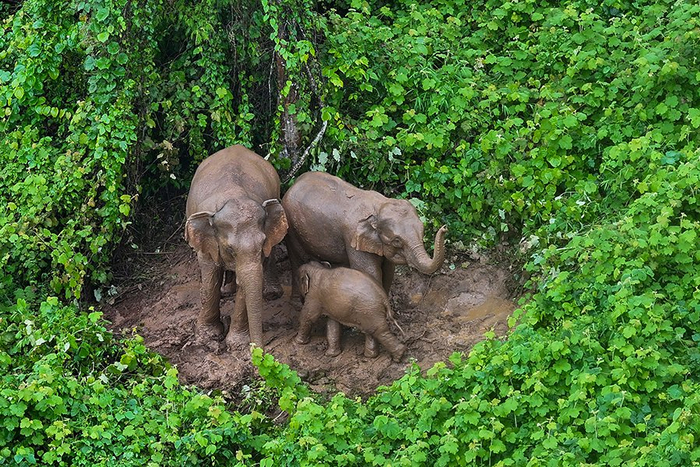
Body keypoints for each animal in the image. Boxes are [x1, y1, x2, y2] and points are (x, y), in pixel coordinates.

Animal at [185, 145, 288, 351]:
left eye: (261, 244)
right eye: (230, 250)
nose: (259, 352)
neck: (234, 196)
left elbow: (247, 280)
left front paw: (237, 344)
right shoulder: (208, 245)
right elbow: (210, 274)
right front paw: (208, 336)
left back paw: (271, 293)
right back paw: (227, 291)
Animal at [282, 171, 447, 352]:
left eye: (422, 230)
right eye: (396, 240)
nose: (445, 227)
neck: (379, 206)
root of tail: (294, 183)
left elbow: (388, 273)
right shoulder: (353, 238)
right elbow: (370, 272)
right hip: (291, 227)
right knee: (296, 258)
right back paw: (297, 304)